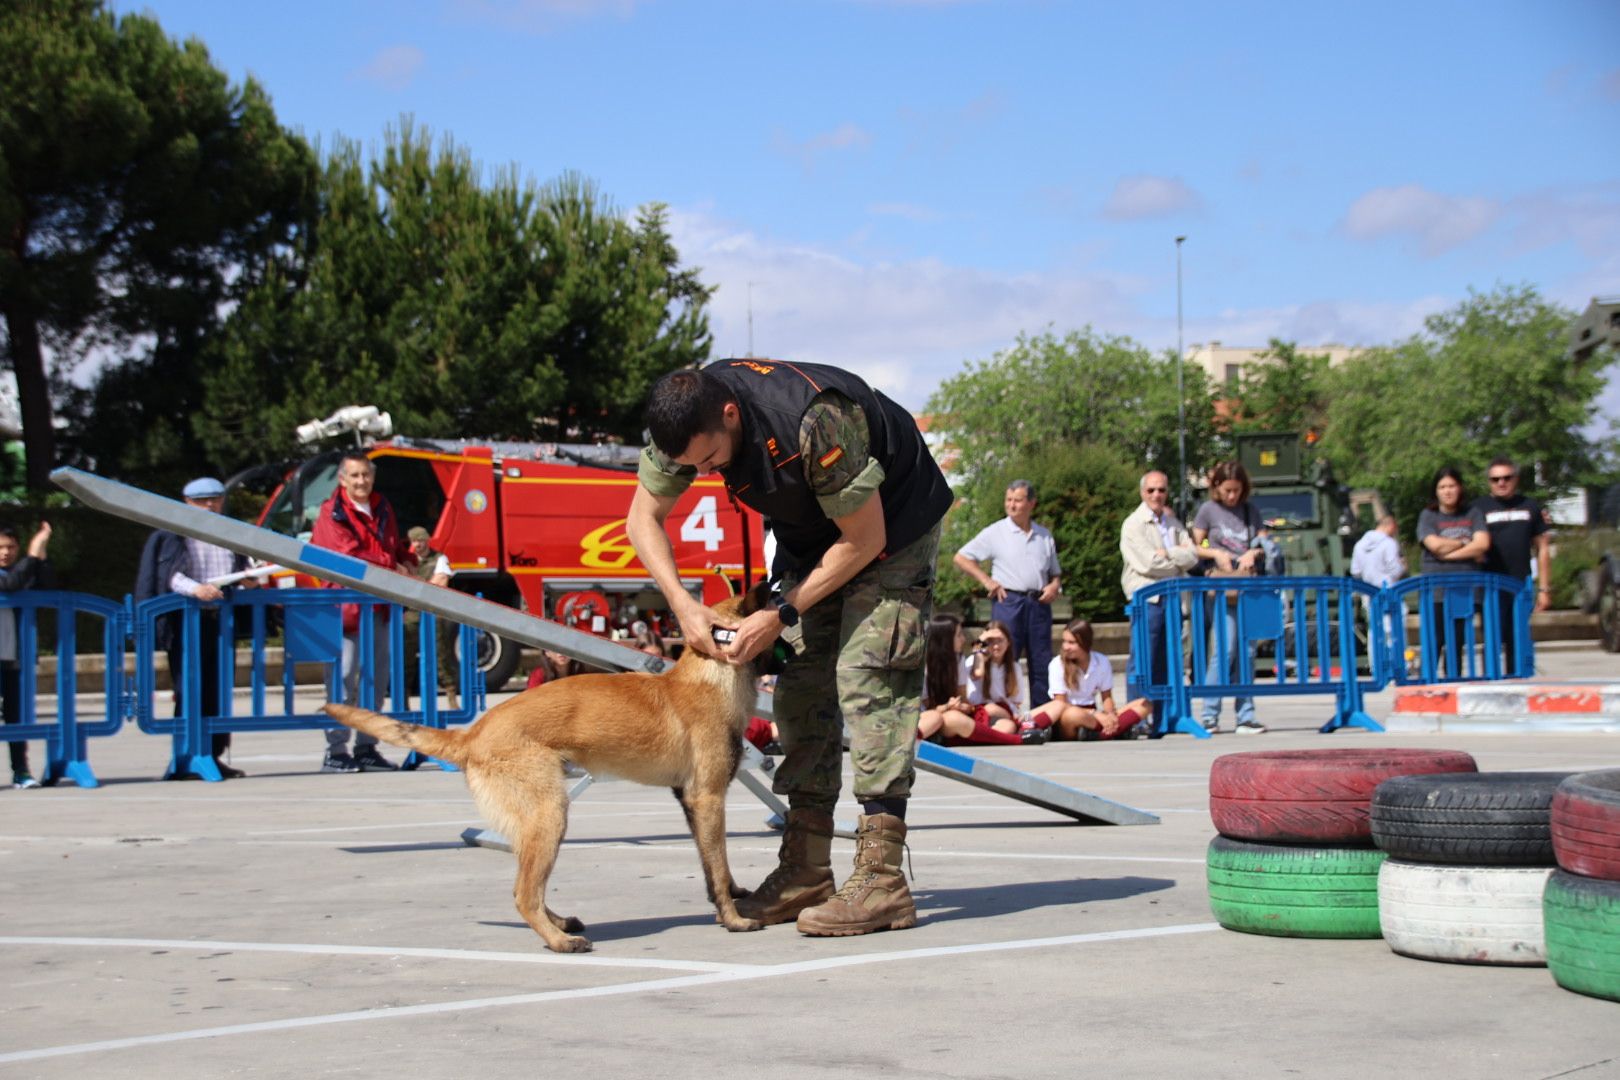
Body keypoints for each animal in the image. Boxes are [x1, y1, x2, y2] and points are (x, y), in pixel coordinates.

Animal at [324, 586, 771, 952]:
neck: (711, 675)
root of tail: (473, 734)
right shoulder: (709, 799)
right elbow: (719, 867)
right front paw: (734, 920)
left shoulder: (691, 803)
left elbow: (712, 871)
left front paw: (725, 906)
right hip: (549, 815)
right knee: (524, 894)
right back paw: (559, 941)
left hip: (539, 823)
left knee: (529, 889)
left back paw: (559, 922)